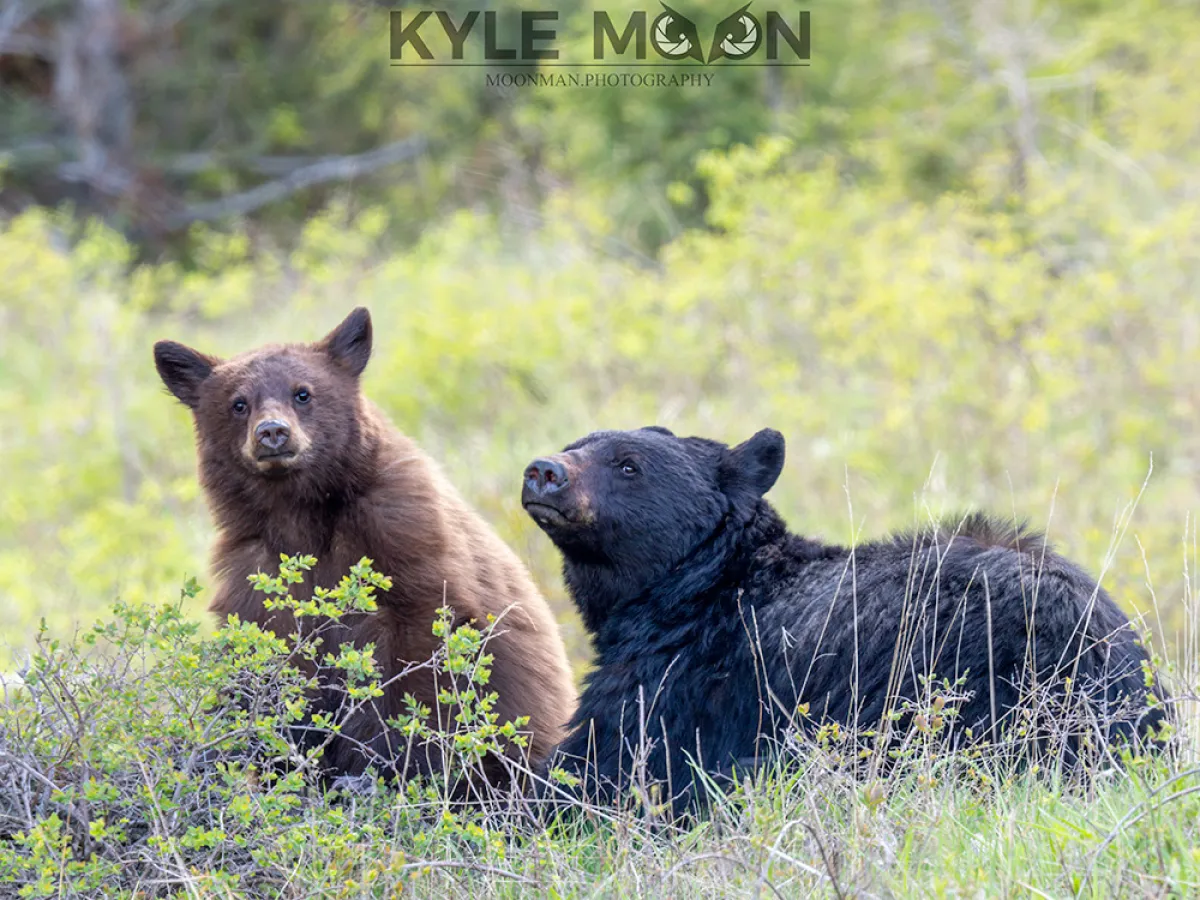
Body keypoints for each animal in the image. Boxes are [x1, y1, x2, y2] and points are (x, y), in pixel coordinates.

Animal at [154, 308, 577, 786]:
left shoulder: (402, 532)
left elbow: (421, 659)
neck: (300, 515)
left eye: (303, 393)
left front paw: (394, 763)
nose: (273, 433)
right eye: (238, 403)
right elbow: (271, 659)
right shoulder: (255, 567)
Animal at [521, 425, 1167, 806]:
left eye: (628, 465)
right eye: (577, 439)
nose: (543, 470)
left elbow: (605, 767)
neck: (696, 587)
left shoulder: (680, 679)